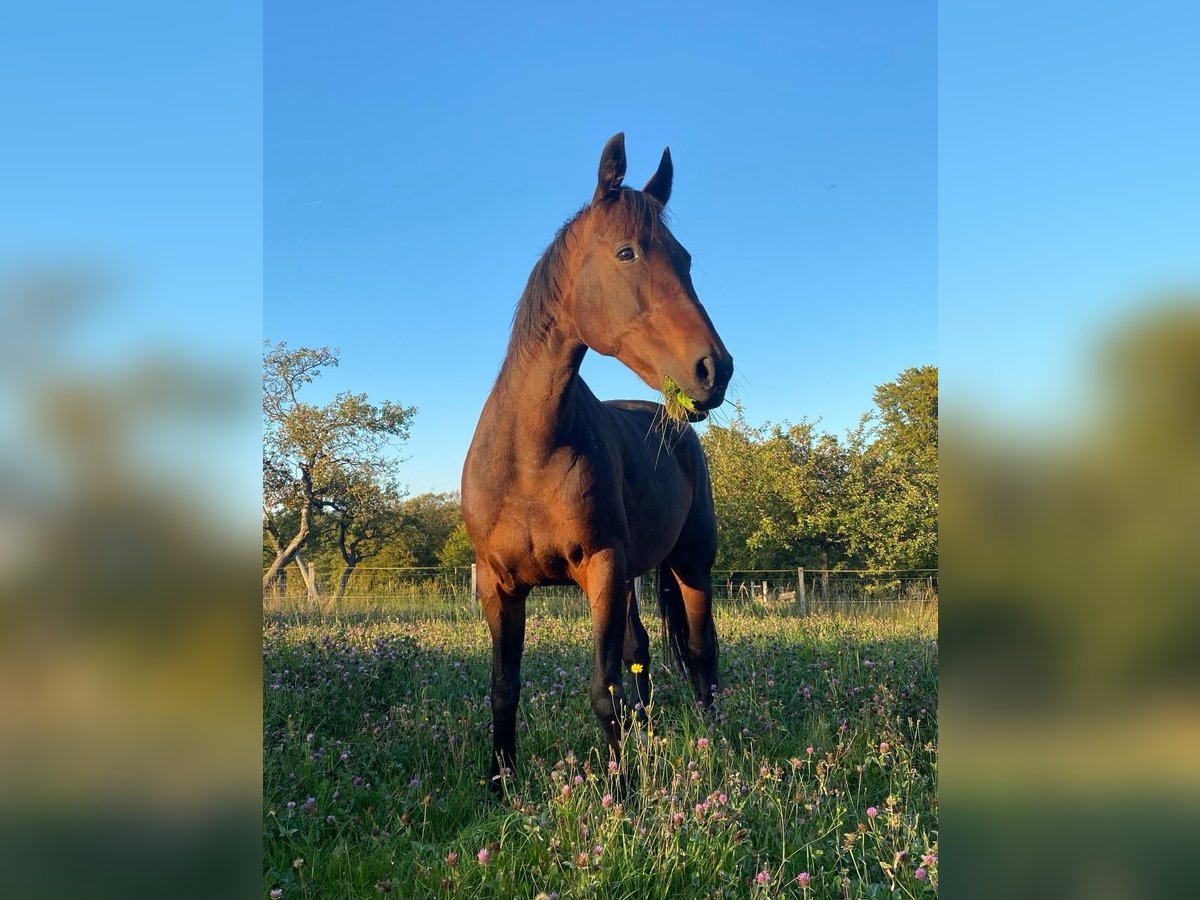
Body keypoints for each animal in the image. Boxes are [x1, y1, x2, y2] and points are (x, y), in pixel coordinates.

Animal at [461, 133, 734, 789]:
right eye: (627, 252)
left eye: (685, 259)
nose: (714, 369)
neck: (529, 455)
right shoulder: (499, 587)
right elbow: (504, 689)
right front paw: (500, 786)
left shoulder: (603, 572)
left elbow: (602, 690)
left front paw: (621, 790)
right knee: (643, 653)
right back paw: (652, 734)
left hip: (691, 565)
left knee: (701, 653)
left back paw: (715, 741)